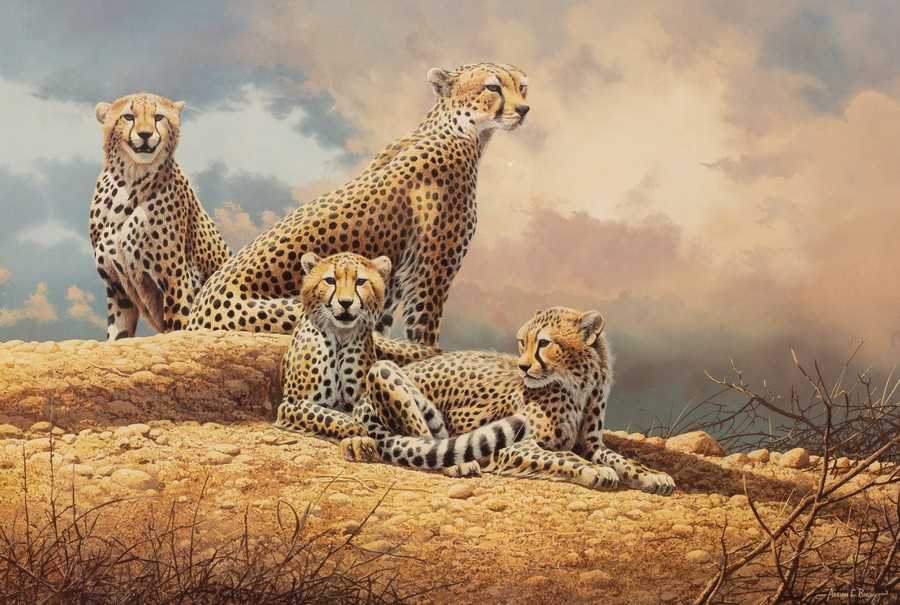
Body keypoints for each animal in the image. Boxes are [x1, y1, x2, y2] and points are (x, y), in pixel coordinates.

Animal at [91, 92, 230, 340]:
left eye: (158, 117)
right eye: (128, 116)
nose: (145, 134)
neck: (130, 181)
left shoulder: (177, 279)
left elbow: (178, 327)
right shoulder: (118, 287)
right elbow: (118, 335)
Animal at [187, 63, 529, 346]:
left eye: (522, 86)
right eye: (493, 87)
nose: (524, 109)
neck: (460, 131)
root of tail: (192, 320)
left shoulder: (391, 282)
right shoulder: (429, 276)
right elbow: (423, 337)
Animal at [272, 251, 442, 460]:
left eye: (360, 281)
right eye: (330, 280)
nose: (346, 303)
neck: (340, 336)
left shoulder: (361, 400)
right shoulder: (291, 404)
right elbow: (331, 416)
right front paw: (358, 435)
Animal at [348, 307, 676, 495]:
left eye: (544, 343)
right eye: (522, 342)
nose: (523, 366)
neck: (579, 384)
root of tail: (361, 402)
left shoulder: (591, 444)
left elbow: (621, 459)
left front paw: (653, 476)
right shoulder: (514, 445)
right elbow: (562, 456)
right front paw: (594, 471)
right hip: (382, 369)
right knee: (425, 442)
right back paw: (457, 466)